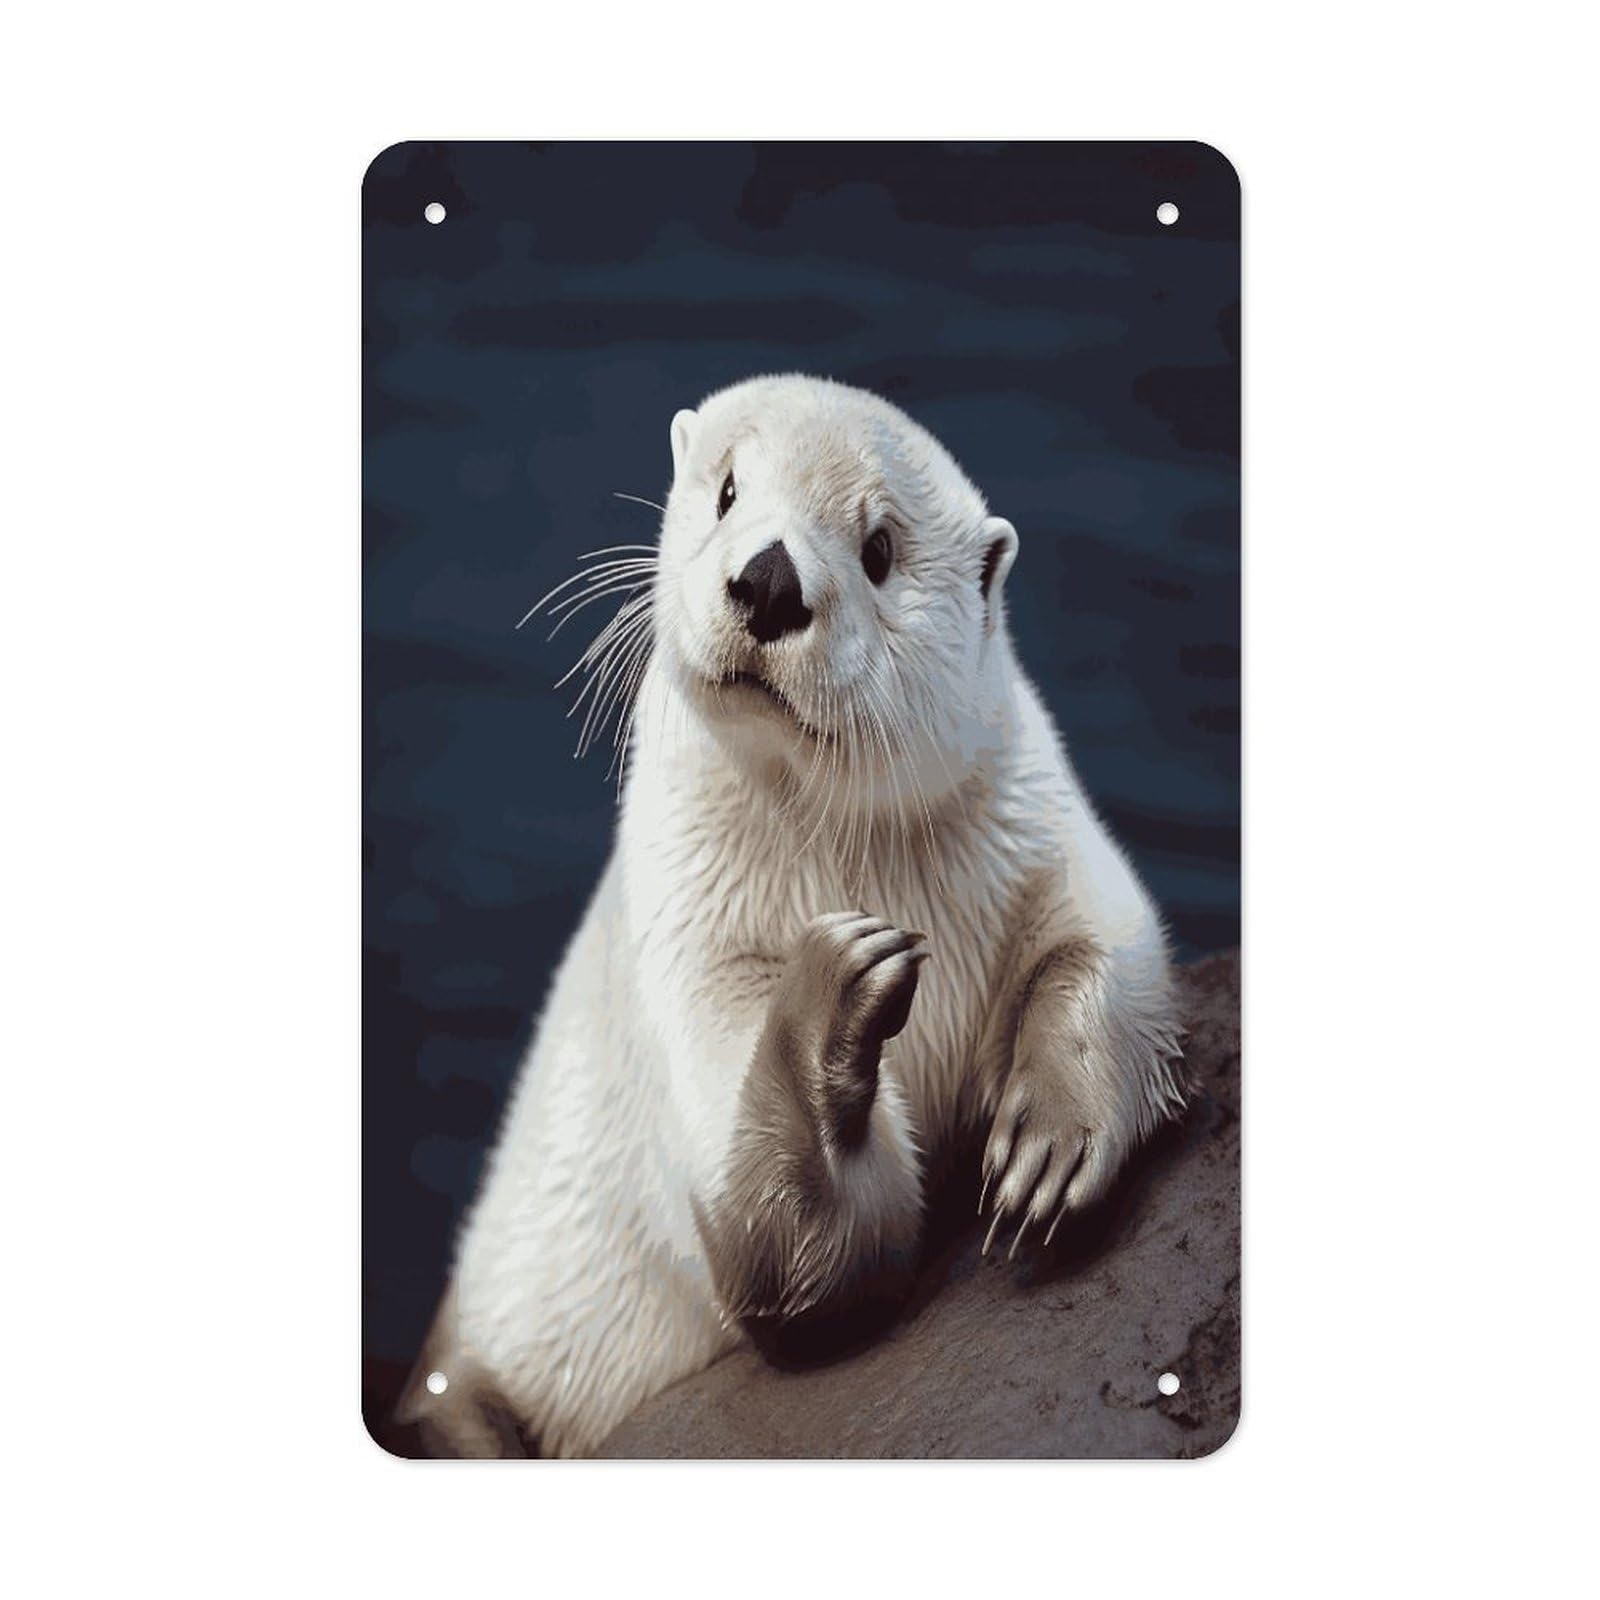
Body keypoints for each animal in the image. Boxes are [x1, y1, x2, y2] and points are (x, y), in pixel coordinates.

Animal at [399, 375, 1185, 1457]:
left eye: (880, 549)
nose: (770, 578)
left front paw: (1050, 1142)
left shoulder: (1042, 835)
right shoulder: (694, 961)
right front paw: (836, 991)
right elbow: (806, 1250)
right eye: (728, 489)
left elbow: (1109, 955)